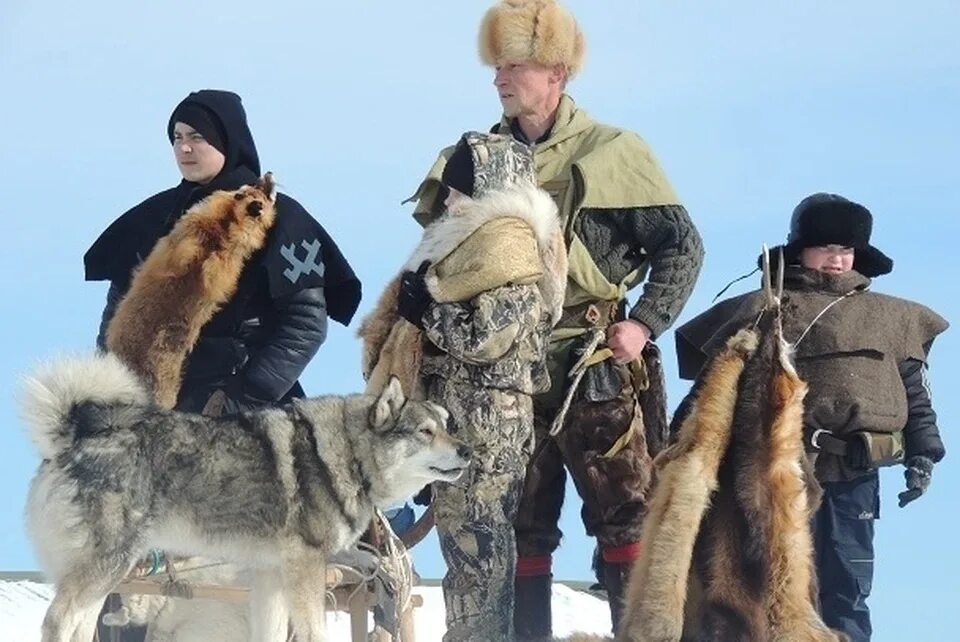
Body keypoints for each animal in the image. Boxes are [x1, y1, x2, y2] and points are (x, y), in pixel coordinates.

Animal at [22, 352, 472, 636]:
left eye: (447, 426)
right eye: (425, 432)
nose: (468, 450)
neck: (348, 455)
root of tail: (71, 436)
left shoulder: (269, 576)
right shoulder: (304, 570)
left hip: (107, 576)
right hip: (107, 566)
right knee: (55, 621)